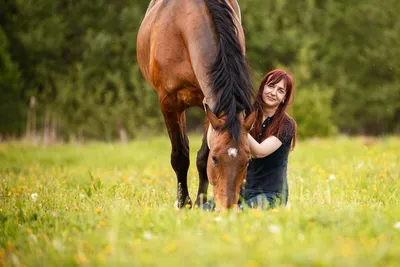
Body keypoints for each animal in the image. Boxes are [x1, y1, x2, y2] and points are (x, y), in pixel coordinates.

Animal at [138, 0, 255, 213]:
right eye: (216, 159)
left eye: (248, 160)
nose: (228, 207)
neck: (183, 26)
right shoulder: (168, 101)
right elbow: (180, 156)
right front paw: (184, 203)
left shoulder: (208, 104)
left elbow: (201, 158)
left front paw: (201, 201)